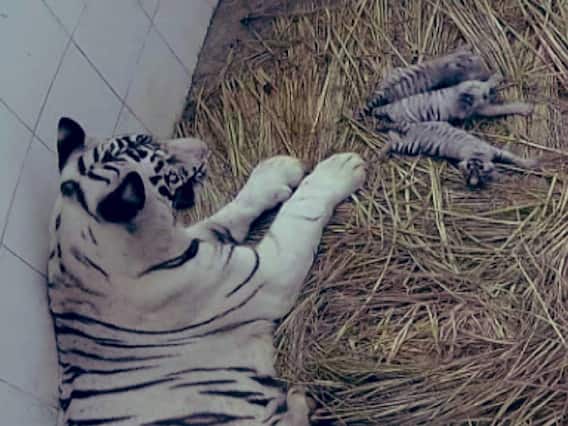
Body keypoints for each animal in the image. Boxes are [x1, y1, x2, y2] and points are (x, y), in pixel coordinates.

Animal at [48, 116, 366, 425]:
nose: (202, 147)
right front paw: (339, 169)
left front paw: (275, 171)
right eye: (166, 165)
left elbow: (228, 214)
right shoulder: (268, 273)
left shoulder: (196, 239)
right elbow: (299, 214)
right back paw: (302, 400)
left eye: (148, 138)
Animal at [371, 73, 534, 125]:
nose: (493, 94)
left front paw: (496, 78)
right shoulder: (481, 109)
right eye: (485, 96)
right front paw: (524, 108)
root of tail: (390, 107)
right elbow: (501, 108)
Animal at [378, 121, 538, 187]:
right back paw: (382, 152)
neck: (477, 154)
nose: (473, 184)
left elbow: (513, 158)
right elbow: (497, 173)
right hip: (413, 144)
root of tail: (413, 126)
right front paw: (505, 177)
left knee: (395, 136)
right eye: (469, 171)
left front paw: (530, 163)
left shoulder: (496, 152)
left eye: (479, 170)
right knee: (394, 143)